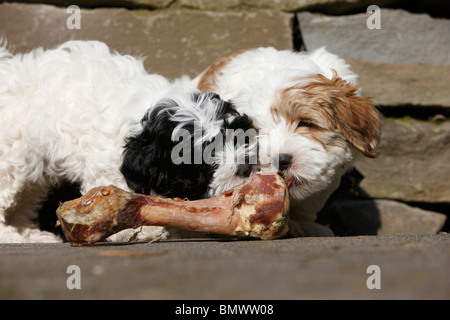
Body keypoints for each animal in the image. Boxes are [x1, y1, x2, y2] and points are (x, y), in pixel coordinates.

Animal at [0, 40, 256, 242]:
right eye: (204, 159)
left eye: (235, 134)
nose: (244, 166)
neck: (143, 125)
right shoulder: (108, 166)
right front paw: (140, 230)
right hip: (9, 156)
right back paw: (11, 237)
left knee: (25, 198)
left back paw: (29, 234)